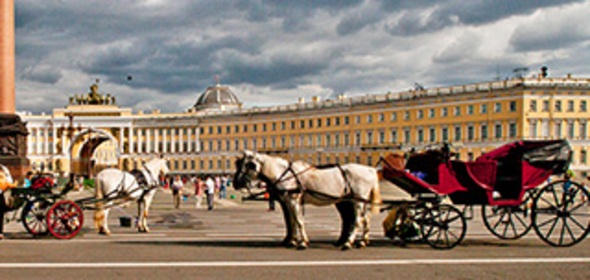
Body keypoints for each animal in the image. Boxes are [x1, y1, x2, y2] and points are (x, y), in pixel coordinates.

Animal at [234, 151, 382, 249]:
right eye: (238, 164)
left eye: (248, 165)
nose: (235, 183)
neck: (286, 174)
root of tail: (370, 169)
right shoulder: (288, 202)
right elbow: (292, 221)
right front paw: (292, 241)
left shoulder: (294, 201)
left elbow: (298, 221)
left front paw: (302, 242)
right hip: (358, 201)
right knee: (365, 219)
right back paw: (362, 241)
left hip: (357, 201)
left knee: (357, 220)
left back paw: (348, 243)